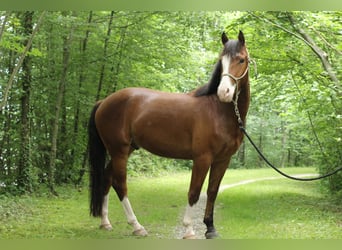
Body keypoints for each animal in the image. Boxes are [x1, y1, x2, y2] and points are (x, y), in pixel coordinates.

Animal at [87, 30, 250, 238]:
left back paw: (106, 222)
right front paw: (189, 229)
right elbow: (194, 192)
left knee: (107, 179)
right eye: (221, 60)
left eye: (241, 59)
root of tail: (103, 102)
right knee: (120, 184)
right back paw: (137, 226)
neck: (218, 110)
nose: (224, 92)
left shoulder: (223, 160)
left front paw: (210, 228)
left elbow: (212, 191)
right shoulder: (202, 158)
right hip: (119, 151)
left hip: (125, 149)